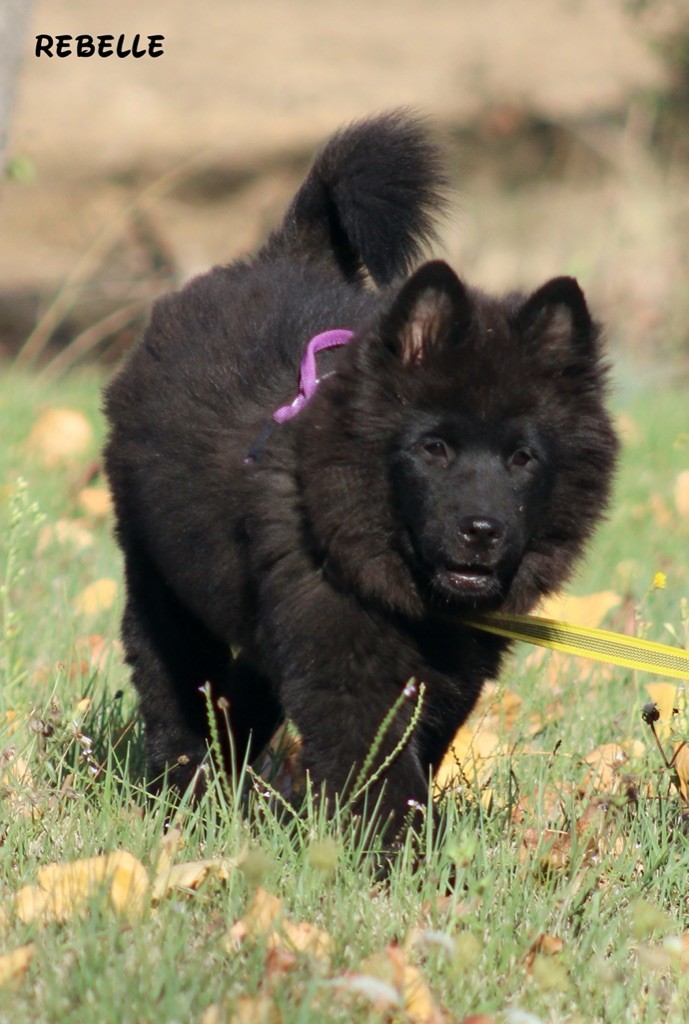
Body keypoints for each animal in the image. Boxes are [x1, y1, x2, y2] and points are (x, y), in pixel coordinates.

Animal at [104, 112, 622, 835]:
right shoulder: (345, 657)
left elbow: (411, 750)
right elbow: (378, 767)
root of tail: (282, 255)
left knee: (245, 683)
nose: (482, 531)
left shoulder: (451, 666)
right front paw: (395, 857)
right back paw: (183, 787)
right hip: (162, 569)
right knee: (169, 669)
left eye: (523, 459)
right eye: (433, 448)